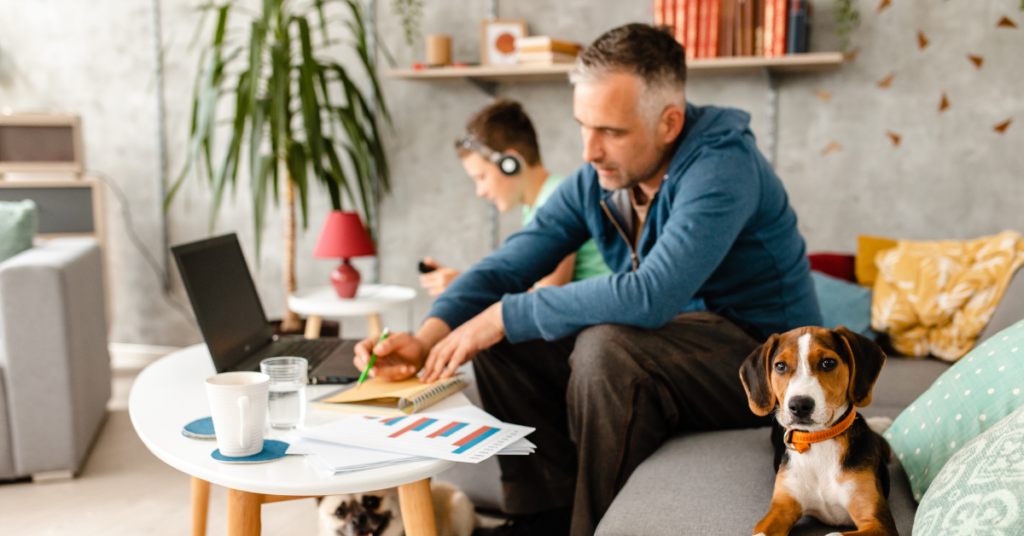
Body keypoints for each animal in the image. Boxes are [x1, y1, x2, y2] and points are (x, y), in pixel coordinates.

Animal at [737, 327, 897, 536]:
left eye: (828, 363)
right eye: (780, 366)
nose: (799, 405)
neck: (818, 439)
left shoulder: (878, 522)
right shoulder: (781, 509)